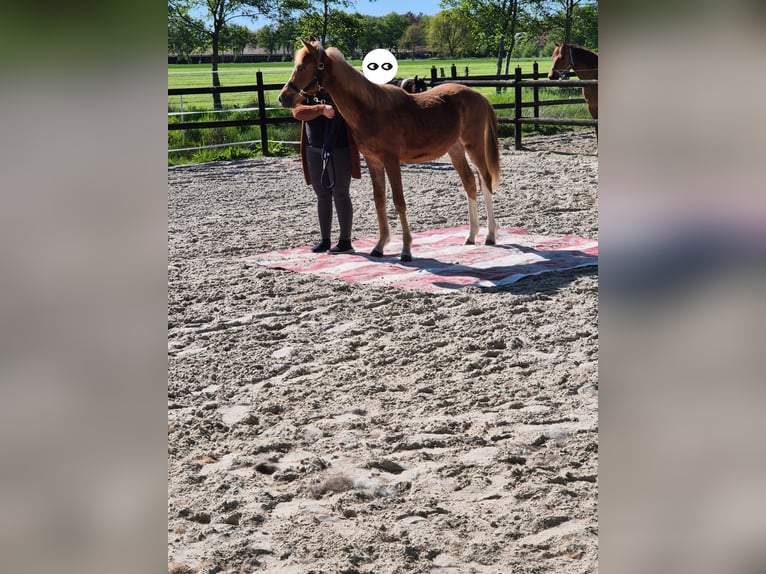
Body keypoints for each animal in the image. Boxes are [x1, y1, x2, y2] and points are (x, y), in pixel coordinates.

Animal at [278, 39, 500, 262]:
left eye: (302, 67)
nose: (283, 97)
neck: (371, 109)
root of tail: (478, 95)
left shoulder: (391, 160)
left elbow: (398, 201)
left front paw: (406, 250)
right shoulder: (373, 161)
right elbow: (380, 200)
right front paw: (379, 246)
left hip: (474, 147)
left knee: (485, 181)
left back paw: (490, 235)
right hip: (455, 150)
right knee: (470, 183)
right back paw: (471, 236)